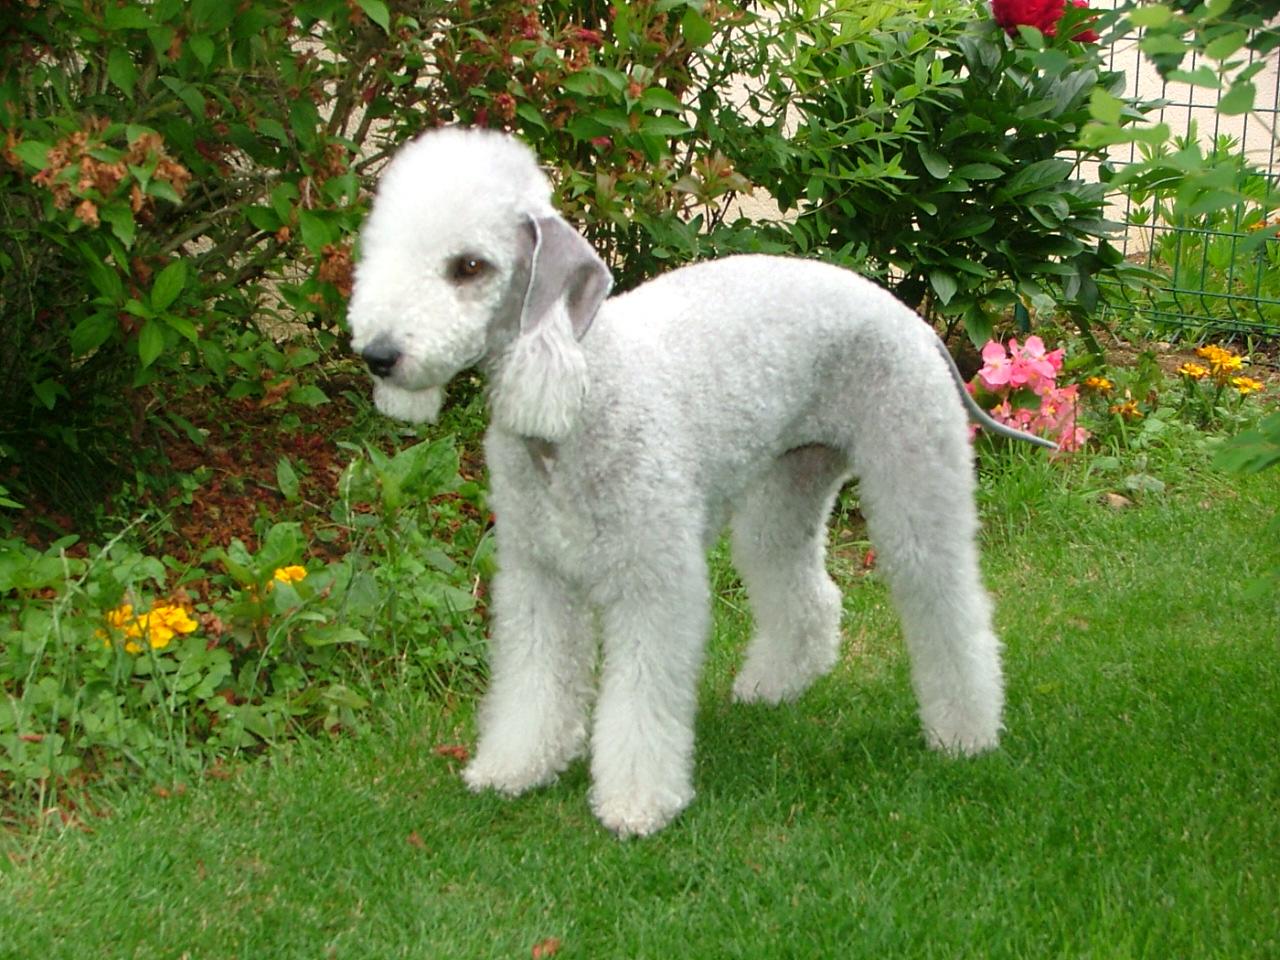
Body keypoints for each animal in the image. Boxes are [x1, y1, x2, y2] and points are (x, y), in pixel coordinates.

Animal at [350, 129, 1049, 839]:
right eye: (383, 250)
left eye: (469, 266)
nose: (378, 355)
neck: (582, 394)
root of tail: (913, 319)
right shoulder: (537, 576)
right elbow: (534, 680)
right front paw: (516, 766)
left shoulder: (654, 578)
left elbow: (640, 698)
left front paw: (637, 802)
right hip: (787, 486)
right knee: (807, 591)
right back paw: (775, 685)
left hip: (914, 471)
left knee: (951, 604)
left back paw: (965, 732)